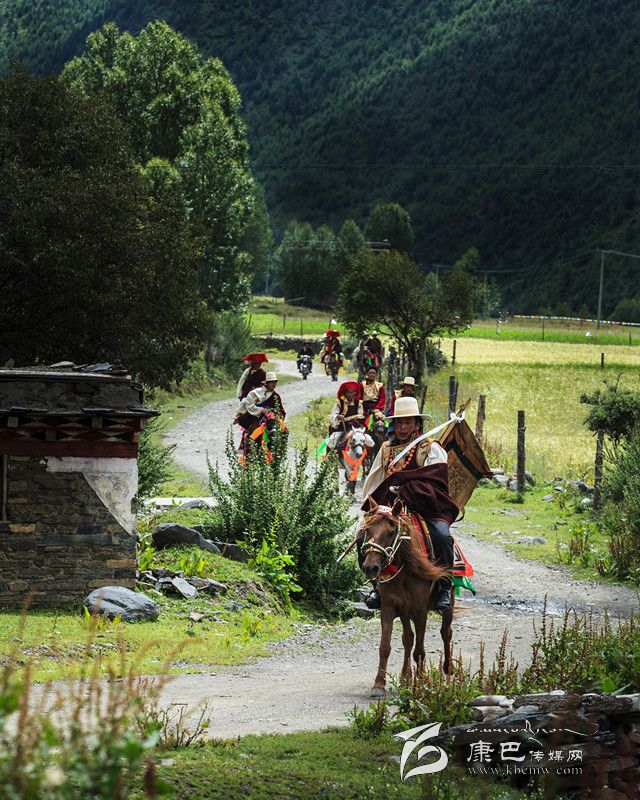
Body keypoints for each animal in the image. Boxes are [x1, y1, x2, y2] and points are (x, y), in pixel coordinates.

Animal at [360, 497, 454, 698]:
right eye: (367, 530)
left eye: (390, 532)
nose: (370, 567)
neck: (406, 570)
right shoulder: (389, 607)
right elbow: (385, 646)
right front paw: (379, 685)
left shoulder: (420, 611)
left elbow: (419, 650)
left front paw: (420, 682)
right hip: (404, 611)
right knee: (408, 638)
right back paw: (405, 678)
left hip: (448, 605)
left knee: (446, 633)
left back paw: (448, 670)